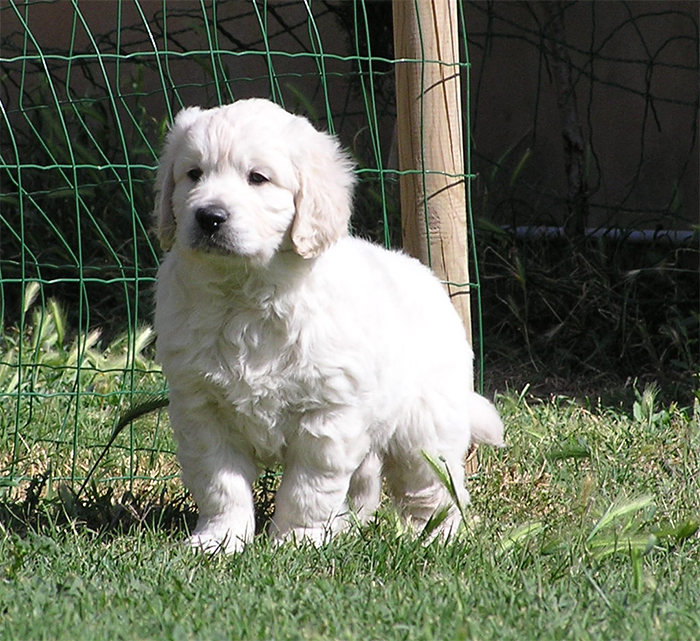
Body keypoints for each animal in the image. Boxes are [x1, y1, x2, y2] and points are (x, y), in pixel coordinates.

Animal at [154, 99, 504, 552]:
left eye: (257, 178)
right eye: (193, 174)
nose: (209, 216)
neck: (245, 293)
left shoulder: (326, 416)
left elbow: (307, 489)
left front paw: (295, 541)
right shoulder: (202, 410)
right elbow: (220, 483)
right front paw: (219, 540)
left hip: (427, 429)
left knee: (435, 488)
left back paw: (436, 537)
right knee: (365, 482)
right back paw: (347, 528)